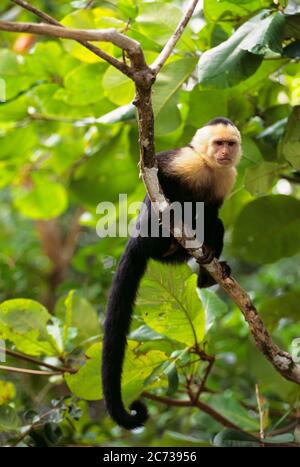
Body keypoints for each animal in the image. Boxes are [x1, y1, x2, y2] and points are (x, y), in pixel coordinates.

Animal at [102, 118, 243, 432]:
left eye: (230, 144)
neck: (208, 166)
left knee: (213, 221)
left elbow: (212, 211)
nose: (225, 153)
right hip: (148, 239)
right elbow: (156, 172)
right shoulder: (186, 160)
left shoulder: (228, 176)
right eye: (218, 143)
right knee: (159, 213)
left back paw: (207, 273)